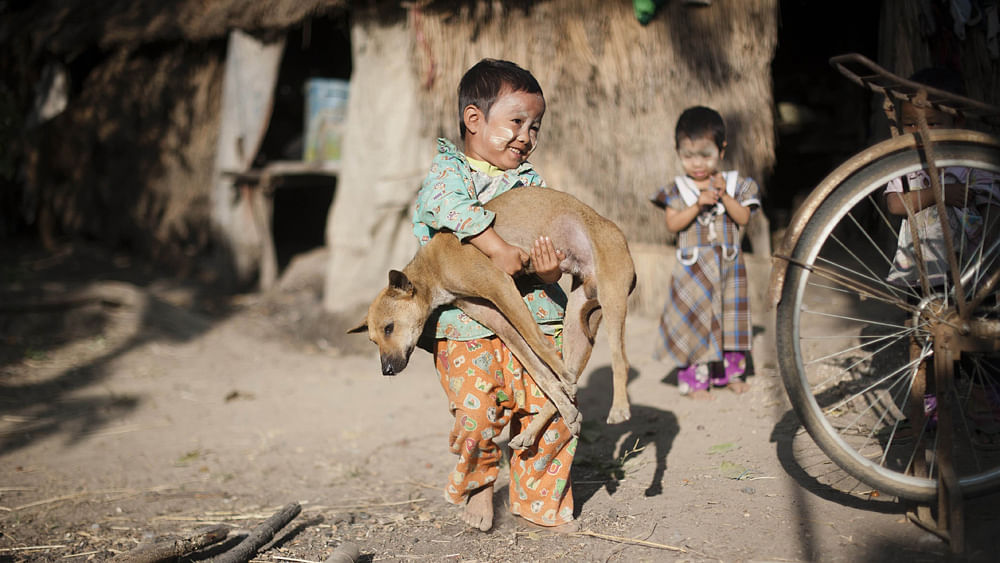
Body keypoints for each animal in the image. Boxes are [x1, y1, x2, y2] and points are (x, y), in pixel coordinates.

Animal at [350, 187, 632, 448]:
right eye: (373, 340)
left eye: (389, 328)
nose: (386, 370)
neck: (434, 268)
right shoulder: (495, 317)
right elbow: (539, 370)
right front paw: (564, 400)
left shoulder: (501, 286)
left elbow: (538, 342)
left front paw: (562, 374)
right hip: (578, 322)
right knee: (580, 365)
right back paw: (536, 430)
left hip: (612, 296)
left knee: (621, 359)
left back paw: (619, 409)